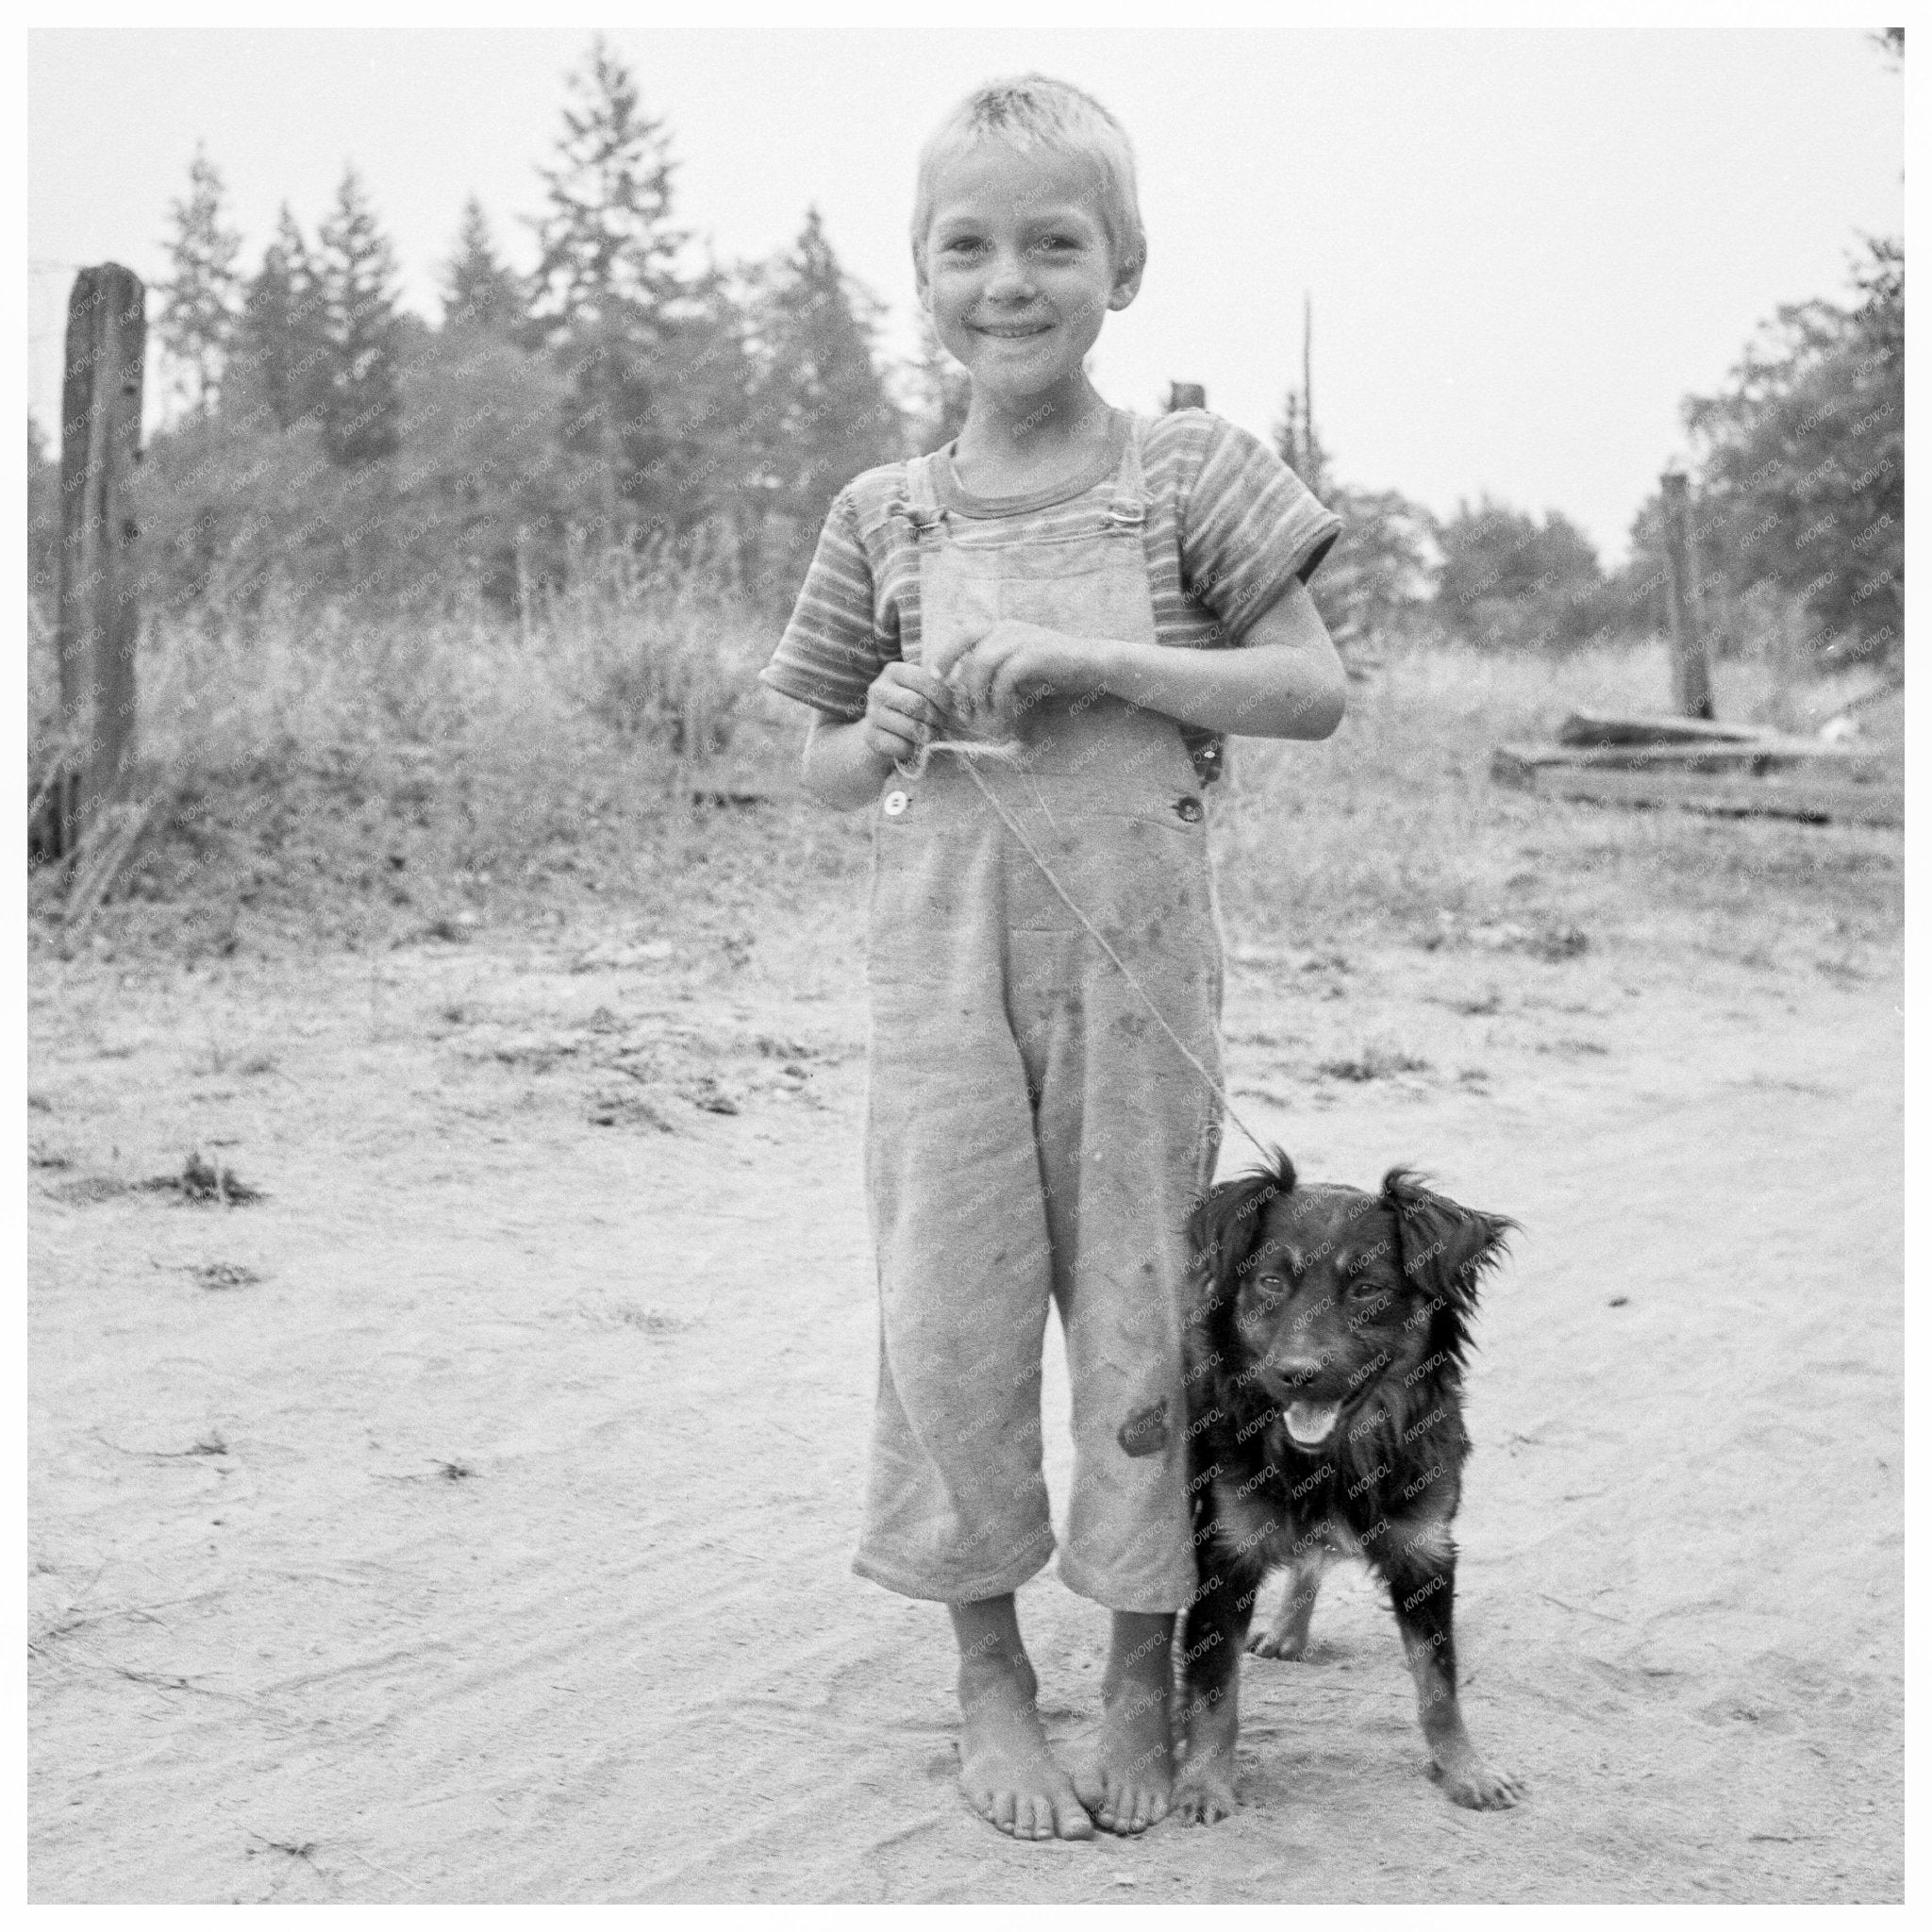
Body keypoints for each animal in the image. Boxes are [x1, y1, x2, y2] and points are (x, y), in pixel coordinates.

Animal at [1166, 1151, 1530, 1816]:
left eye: (1367, 1290)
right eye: (1271, 1283)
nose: (1297, 1374)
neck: (1332, 1457)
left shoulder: (1424, 1552)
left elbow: (1439, 1683)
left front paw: (1466, 1770)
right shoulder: (1224, 1554)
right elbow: (1214, 1690)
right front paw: (1204, 1783)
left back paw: (1290, 1630)